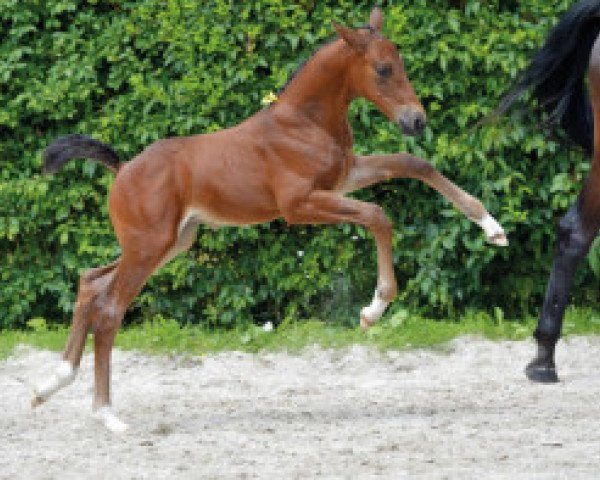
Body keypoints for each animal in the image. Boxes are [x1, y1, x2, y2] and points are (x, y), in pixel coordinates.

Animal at [32, 6, 506, 432]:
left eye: (401, 63)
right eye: (383, 69)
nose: (417, 120)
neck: (303, 123)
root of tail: (124, 168)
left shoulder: (343, 178)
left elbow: (414, 164)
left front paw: (492, 227)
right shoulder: (299, 205)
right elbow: (378, 215)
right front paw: (373, 309)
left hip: (169, 243)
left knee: (91, 283)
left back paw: (50, 384)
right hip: (150, 246)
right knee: (110, 310)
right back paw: (106, 413)